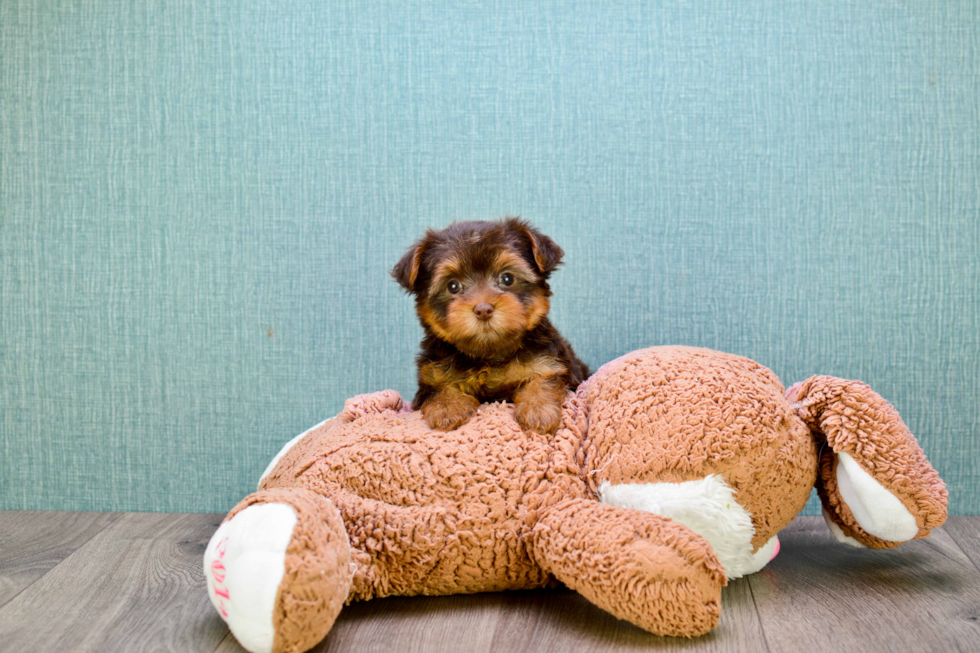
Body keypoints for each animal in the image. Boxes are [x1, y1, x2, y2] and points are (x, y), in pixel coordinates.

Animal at [390, 216, 588, 436]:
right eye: (452, 286)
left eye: (507, 278)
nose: (483, 309)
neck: (488, 354)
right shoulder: (431, 375)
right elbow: (438, 387)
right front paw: (447, 408)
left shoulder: (550, 361)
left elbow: (544, 377)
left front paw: (538, 410)